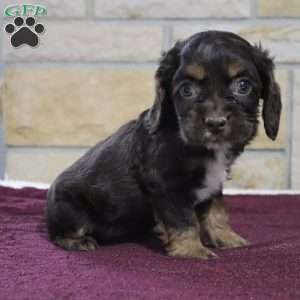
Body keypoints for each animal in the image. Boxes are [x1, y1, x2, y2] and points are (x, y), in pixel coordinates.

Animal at [46, 31, 282, 258]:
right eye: (187, 90)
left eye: (243, 86)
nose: (215, 122)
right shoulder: (166, 184)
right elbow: (184, 219)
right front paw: (192, 250)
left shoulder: (213, 182)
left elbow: (216, 210)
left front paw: (226, 237)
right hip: (70, 210)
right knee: (61, 233)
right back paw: (77, 241)